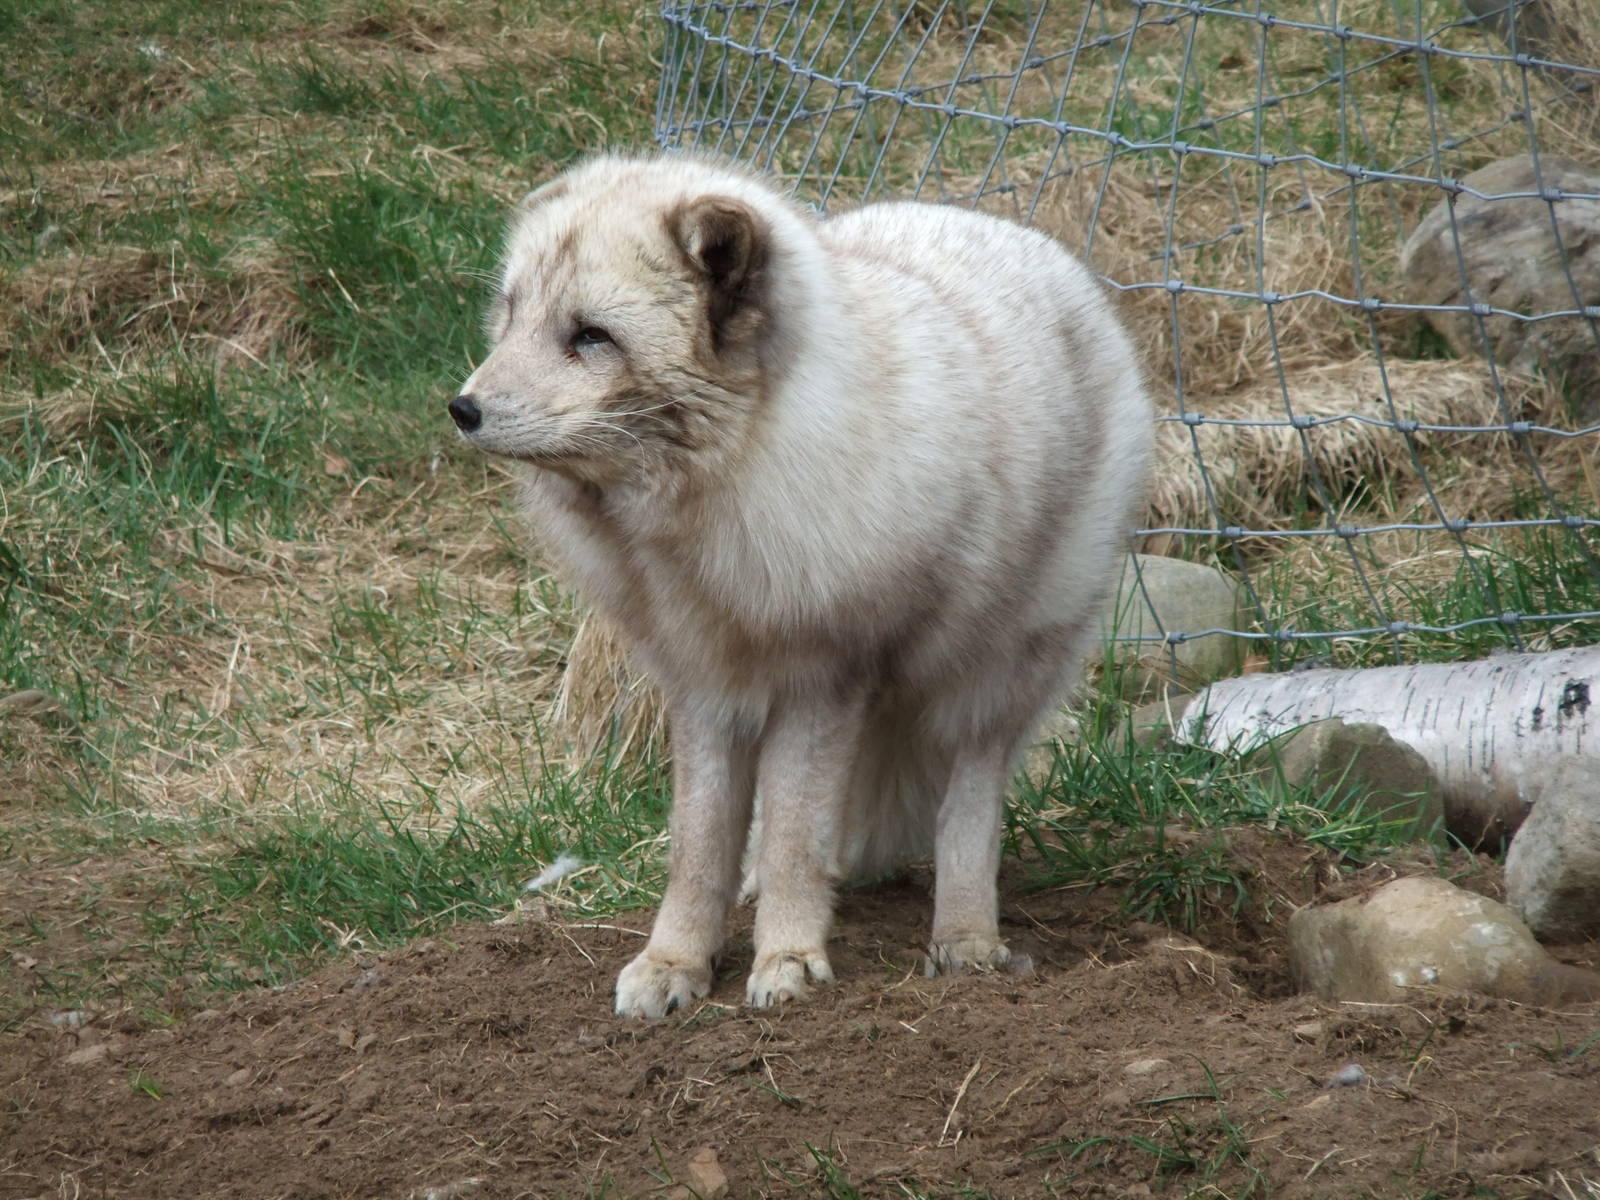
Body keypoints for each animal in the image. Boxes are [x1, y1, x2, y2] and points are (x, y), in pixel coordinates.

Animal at [450, 153, 1152, 1018]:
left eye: (591, 336)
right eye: (512, 314)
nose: (462, 408)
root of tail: (1024, 238)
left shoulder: (823, 677)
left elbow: (793, 836)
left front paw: (787, 958)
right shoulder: (703, 685)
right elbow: (699, 844)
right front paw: (675, 961)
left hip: (998, 671)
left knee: (970, 801)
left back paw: (965, 940)